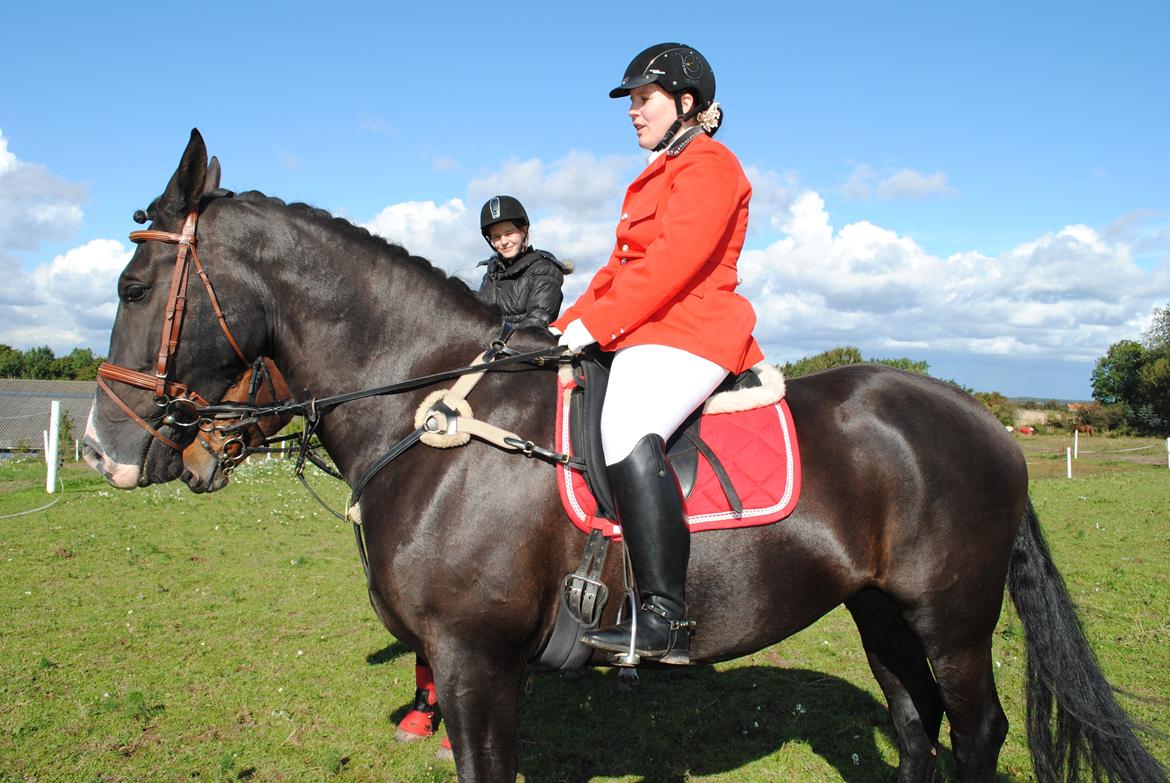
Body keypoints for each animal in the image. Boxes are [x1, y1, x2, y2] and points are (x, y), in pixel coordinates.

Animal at [84, 128, 1170, 781]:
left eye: (134, 284)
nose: (103, 450)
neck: (434, 417)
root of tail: (974, 416)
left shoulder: (475, 663)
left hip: (954, 618)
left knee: (976, 731)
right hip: (880, 611)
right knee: (915, 723)